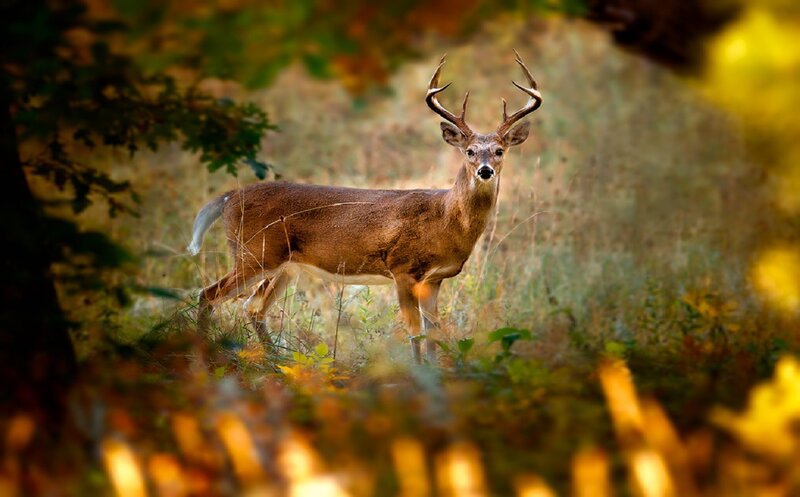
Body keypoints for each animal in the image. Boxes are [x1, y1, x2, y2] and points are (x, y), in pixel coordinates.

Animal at [187, 51, 542, 363]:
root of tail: (228, 198)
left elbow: (435, 333)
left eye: (499, 150)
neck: (444, 219)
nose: (485, 171)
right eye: (469, 151)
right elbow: (415, 333)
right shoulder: (402, 267)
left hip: (283, 265)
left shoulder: (434, 279)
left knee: (253, 306)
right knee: (208, 295)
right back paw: (205, 357)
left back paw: (275, 361)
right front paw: (420, 376)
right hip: (253, 252)